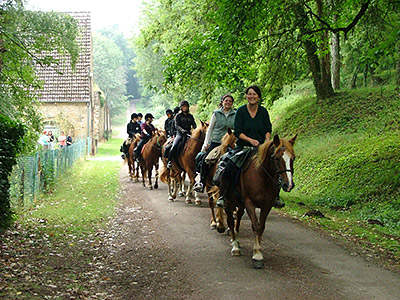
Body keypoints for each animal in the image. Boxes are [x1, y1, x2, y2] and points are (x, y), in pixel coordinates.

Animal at [217, 134, 296, 268]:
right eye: (276, 158)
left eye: (293, 158)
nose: (288, 185)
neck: (262, 177)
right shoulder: (249, 203)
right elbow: (255, 225)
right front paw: (257, 255)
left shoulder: (267, 205)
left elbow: (261, 227)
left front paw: (258, 252)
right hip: (229, 202)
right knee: (231, 222)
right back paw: (235, 246)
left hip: (240, 204)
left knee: (238, 219)